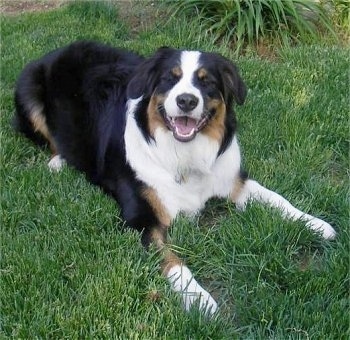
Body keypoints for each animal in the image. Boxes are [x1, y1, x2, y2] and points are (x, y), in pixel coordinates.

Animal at [13, 40, 336, 316]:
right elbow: (174, 263)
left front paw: (315, 224)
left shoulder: (233, 180)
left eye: (206, 81)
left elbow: (276, 198)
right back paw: (58, 161)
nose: (186, 101)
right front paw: (201, 300)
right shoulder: (141, 219)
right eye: (170, 78)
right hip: (28, 92)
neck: (185, 155)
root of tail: (58, 50)